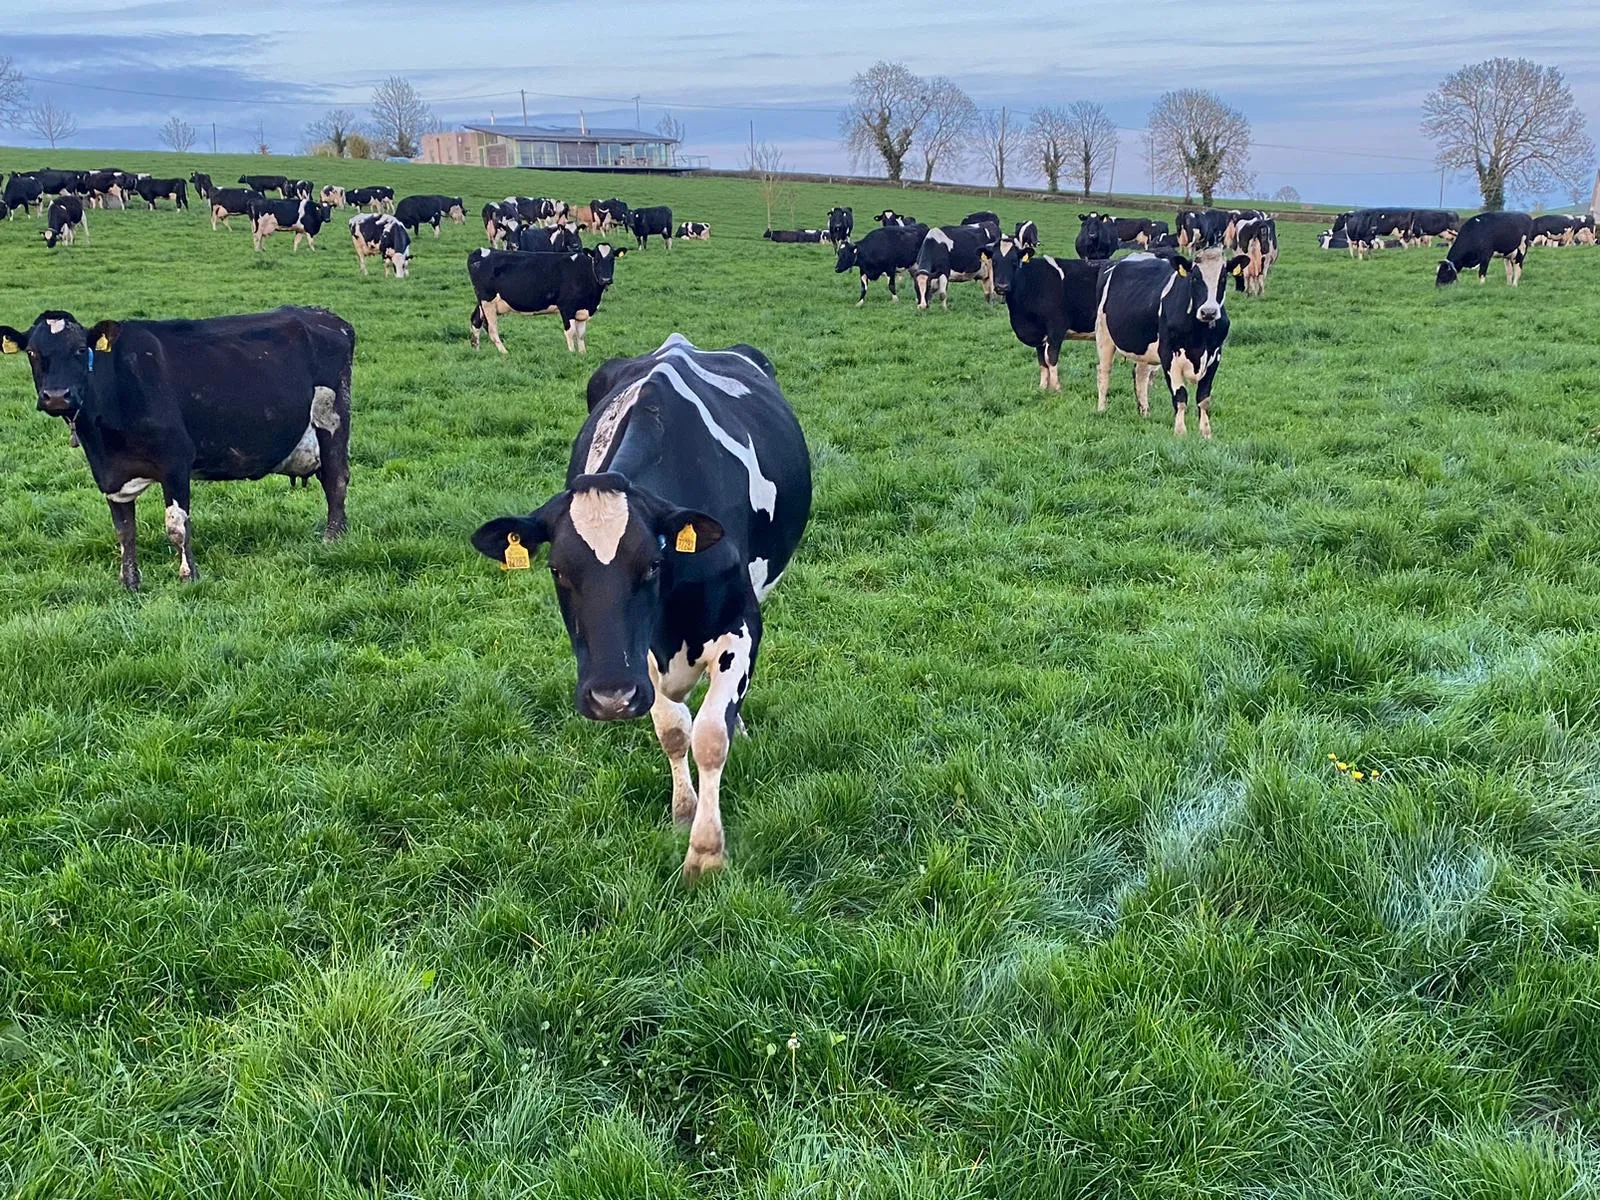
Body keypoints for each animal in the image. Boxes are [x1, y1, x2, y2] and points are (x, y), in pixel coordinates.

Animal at [0, 306, 353, 588]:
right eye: (32, 353)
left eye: (78, 350)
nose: (57, 396)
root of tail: (324, 316)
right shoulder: (111, 475)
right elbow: (124, 531)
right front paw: (129, 582)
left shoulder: (176, 462)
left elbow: (177, 526)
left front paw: (189, 576)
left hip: (332, 422)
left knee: (336, 481)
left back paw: (332, 539)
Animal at [467, 244, 625, 354]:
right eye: (596, 259)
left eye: (612, 259)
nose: (606, 279)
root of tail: (480, 251)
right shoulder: (566, 307)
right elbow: (570, 332)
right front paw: (572, 353)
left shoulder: (582, 310)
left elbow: (581, 334)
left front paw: (582, 354)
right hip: (487, 301)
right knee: (492, 329)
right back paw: (504, 352)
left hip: (482, 302)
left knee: (476, 320)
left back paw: (476, 350)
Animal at [470, 332, 811, 880]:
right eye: (557, 570)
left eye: (652, 564)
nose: (610, 696)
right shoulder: (641, 657)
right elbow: (674, 731)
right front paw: (684, 813)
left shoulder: (741, 625)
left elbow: (710, 735)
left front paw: (706, 853)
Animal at [1003, 252, 1107, 391]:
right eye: (993, 260)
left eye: (1014, 261)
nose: (1001, 286)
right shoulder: (1040, 336)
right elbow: (1042, 361)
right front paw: (1042, 387)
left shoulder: (1056, 329)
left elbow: (1051, 358)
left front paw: (1056, 388)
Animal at [1094, 250, 1249, 437]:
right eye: (1194, 277)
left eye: (1223, 278)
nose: (1209, 312)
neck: (1200, 336)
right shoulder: (1169, 355)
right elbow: (1180, 396)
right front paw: (1180, 432)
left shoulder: (1215, 355)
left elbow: (1203, 398)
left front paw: (1206, 433)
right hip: (1104, 335)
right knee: (1104, 372)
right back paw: (1102, 409)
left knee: (1140, 374)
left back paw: (1145, 413)